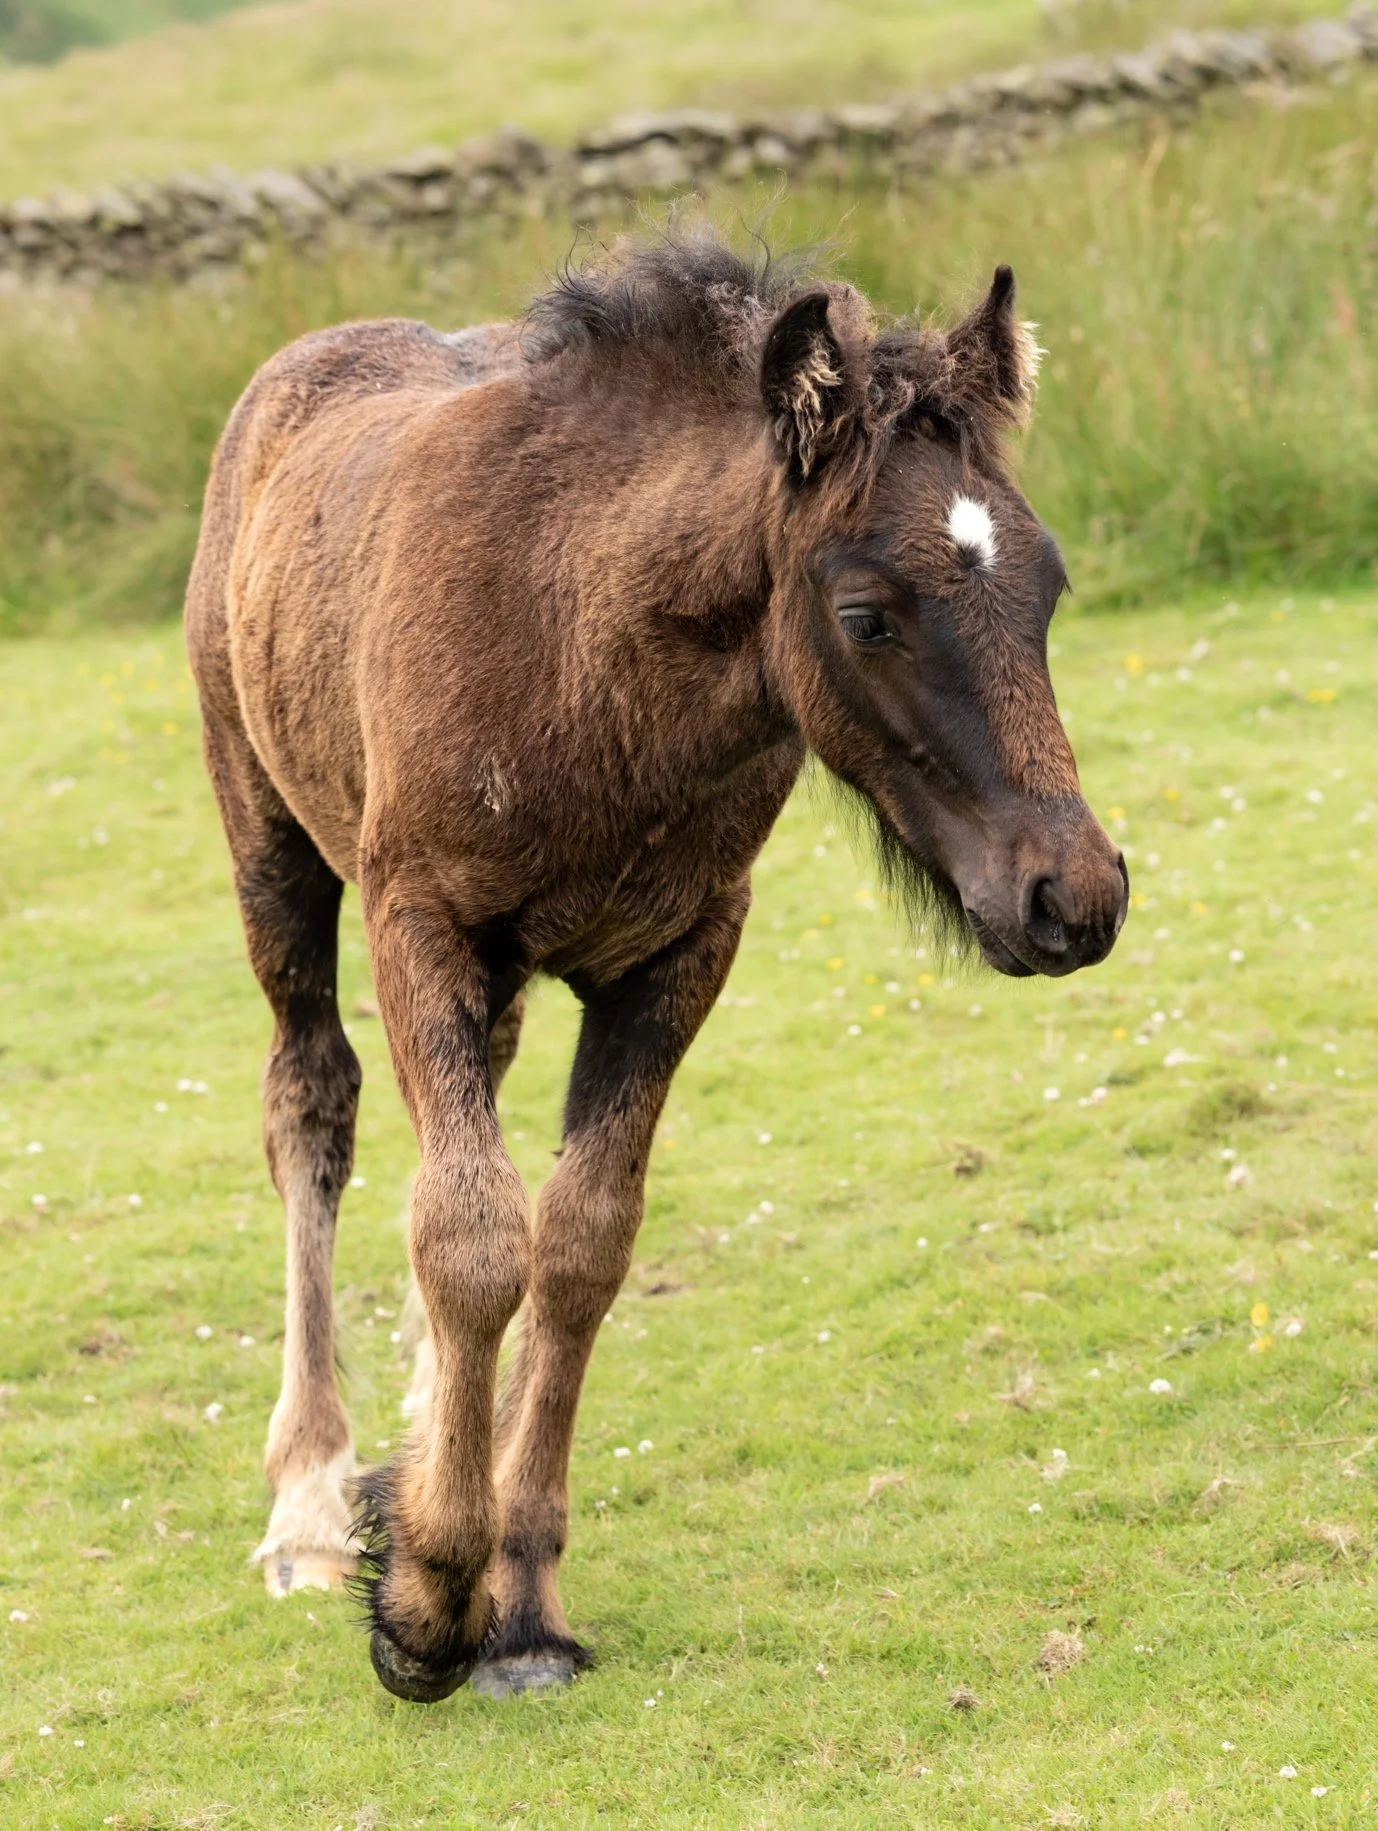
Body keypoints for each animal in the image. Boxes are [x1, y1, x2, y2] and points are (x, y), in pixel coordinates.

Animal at [185, 230, 1127, 1705]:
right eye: (866, 610)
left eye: (1049, 583)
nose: (1071, 895)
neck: (584, 646)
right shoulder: (418, 919)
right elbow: (471, 1234)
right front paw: (426, 1600)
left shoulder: (681, 952)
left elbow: (577, 1240)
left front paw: (518, 1599)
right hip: (272, 845)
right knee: (312, 1101)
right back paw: (311, 1505)